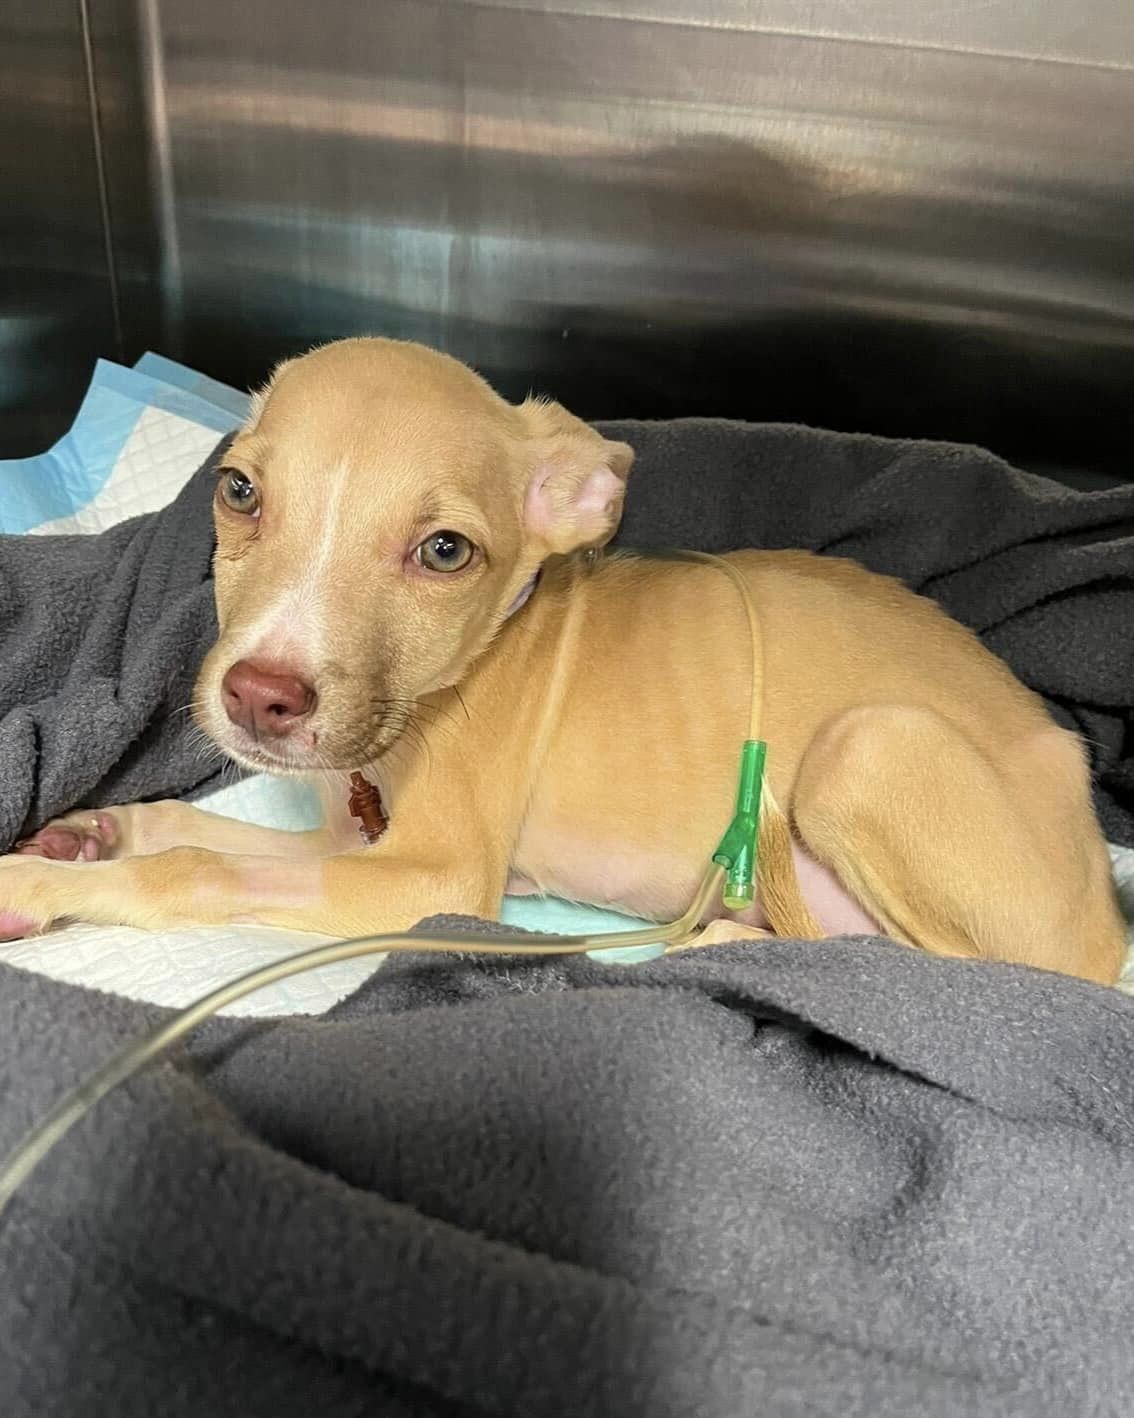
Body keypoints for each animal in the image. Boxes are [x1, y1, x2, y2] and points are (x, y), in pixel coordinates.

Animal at [2, 336, 1122, 981]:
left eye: (445, 551)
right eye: (237, 491)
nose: (259, 699)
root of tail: (1109, 916)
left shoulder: (433, 879)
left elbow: (196, 866)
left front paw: (38, 888)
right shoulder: (347, 843)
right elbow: (192, 828)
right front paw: (92, 833)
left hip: (867, 748)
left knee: (957, 973)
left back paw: (730, 942)